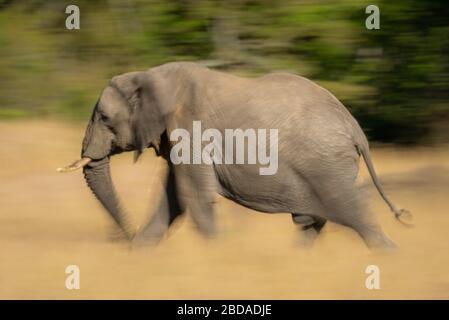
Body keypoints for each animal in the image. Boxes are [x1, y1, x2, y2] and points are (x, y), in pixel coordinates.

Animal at [57, 61, 410, 249]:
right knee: (314, 222)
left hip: (327, 166)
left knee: (354, 213)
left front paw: (219, 256)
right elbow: (171, 200)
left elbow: (193, 198)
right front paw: (140, 255)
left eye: (104, 118)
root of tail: (356, 130)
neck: (153, 75)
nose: (121, 237)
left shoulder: (192, 130)